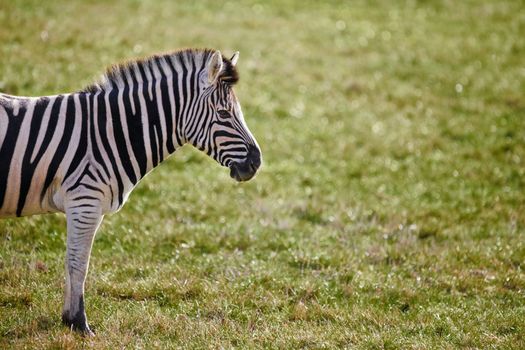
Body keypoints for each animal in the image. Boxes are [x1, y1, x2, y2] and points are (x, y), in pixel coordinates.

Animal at [0, 47, 262, 334]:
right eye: (224, 114)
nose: (256, 162)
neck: (111, 133)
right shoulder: (85, 201)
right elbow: (79, 262)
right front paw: (79, 323)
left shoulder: (86, 206)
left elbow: (73, 260)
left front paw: (69, 320)